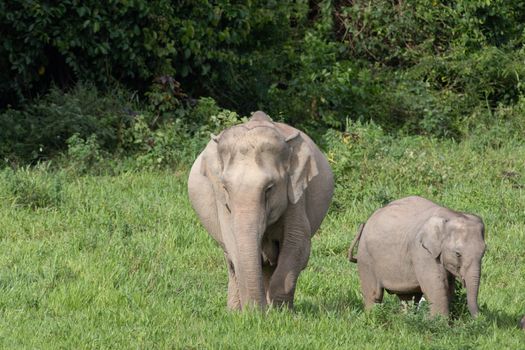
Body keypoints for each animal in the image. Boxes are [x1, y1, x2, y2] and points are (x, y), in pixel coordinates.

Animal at [189, 110, 332, 310]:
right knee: (233, 262)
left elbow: (297, 244)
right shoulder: (221, 202)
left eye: (269, 188)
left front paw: (280, 312)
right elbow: (233, 244)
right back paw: (233, 311)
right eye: (225, 188)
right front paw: (254, 311)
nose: (257, 313)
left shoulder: (296, 195)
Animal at [350, 196, 486, 318]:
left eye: (484, 252)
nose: (479, 319)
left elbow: (449, 288)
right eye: (458, 253)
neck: (450, 215)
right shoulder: (422, 251)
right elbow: (436, 286)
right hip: (365, 257)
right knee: (373, 295)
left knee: (408, 297)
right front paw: (439, 324)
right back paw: (372, 317)